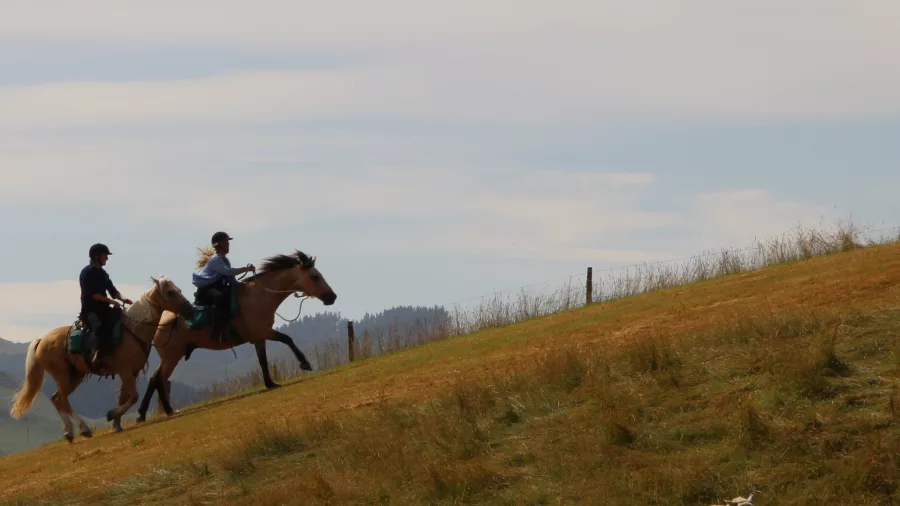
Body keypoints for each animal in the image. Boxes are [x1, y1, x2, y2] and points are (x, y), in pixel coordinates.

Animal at [9, 276, 195, 440]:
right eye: (170, 292)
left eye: (179, 290)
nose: (189, 310)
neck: (134, 329)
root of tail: (42, 340)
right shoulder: (126, 371)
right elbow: (133, 396)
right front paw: (111, 415)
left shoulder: (131, 373)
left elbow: (125, 397)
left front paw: (117, 424)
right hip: (62, 375)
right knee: (63, 400)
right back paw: (84, 428)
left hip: (75, 376)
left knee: (57, 399)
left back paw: (69, 432)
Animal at [136, 249, 336, 422]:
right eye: (315, 276)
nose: (332, 297)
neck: (259, 296)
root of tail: (161, 324)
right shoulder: (264, 331)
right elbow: (287, 339)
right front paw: (305, 363)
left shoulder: (259, 338)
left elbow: (263, 361)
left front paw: (270, 383)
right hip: (172, 357)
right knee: (159, 379)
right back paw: (165, 410)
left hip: (171, 357)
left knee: (155, 379)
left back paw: (145, 413)